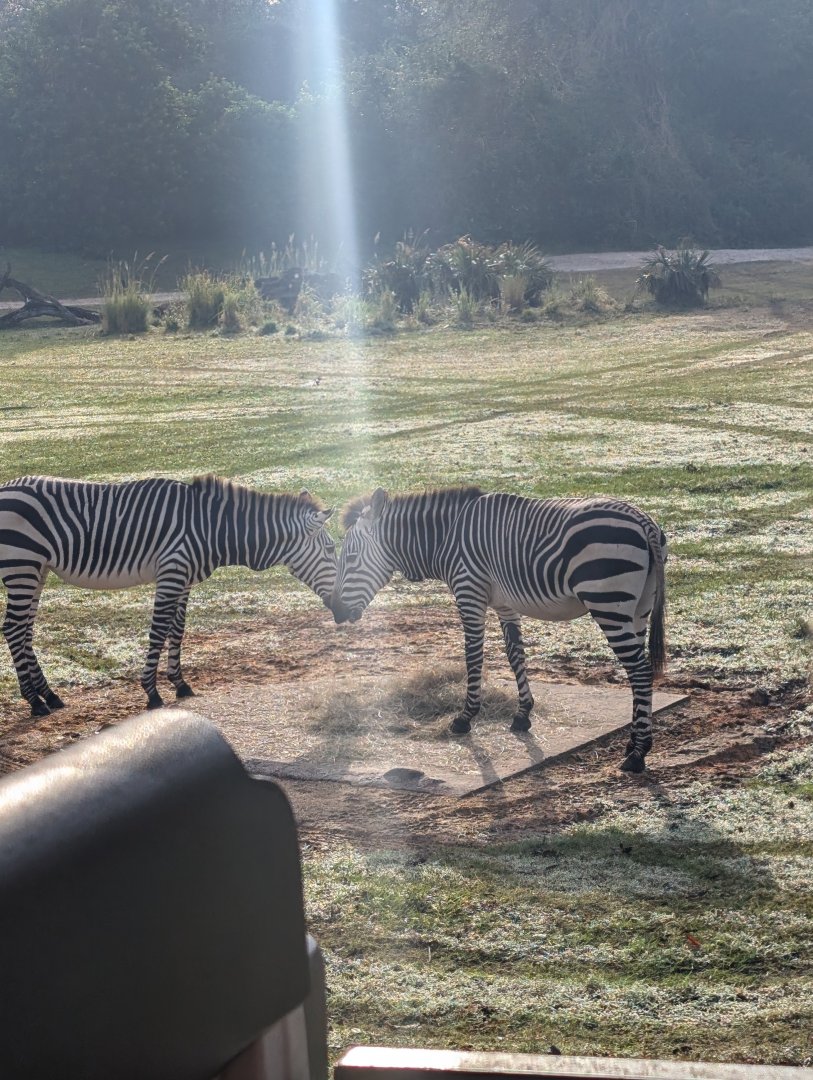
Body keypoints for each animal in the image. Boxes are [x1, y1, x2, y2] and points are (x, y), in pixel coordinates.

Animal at [0, 474, 336, 716]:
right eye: (332, 549)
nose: (339, 605)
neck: (212, 529)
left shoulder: (183, 580)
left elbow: (178, 630)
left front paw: (180, 684)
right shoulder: (172, 573)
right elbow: (159, 631)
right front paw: (151, 692)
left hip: (37, 569)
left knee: (24, 631)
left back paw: (49, 695)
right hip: (22, 565)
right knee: (13, 629)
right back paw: (34, 702)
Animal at [331, 487, 666, 773]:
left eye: (350, 557)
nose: (335, 611)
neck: (446, 537)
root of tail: (643, 520)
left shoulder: (469, 592)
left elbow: (473, 656)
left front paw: (465, 718)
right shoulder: (506, 604)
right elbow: (515, 654)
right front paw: (523, 715)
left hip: (608, 601)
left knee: (638, 670)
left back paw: (639, 754)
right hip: (638, 607)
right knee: (638, 669)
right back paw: (632, 743)